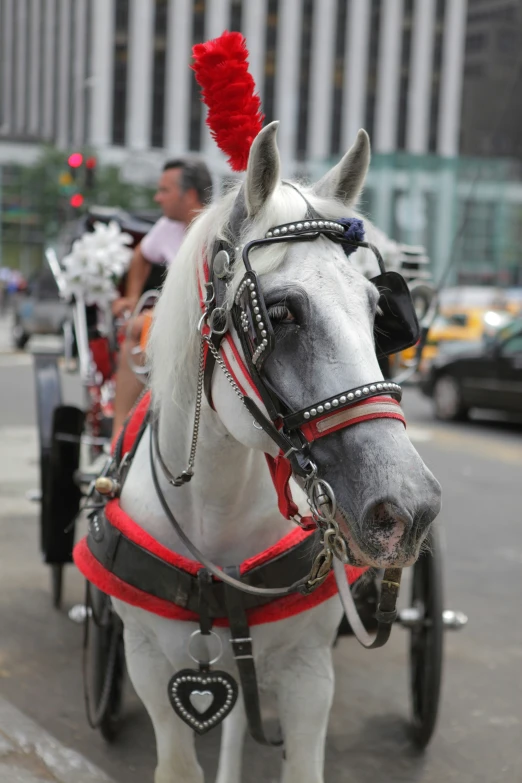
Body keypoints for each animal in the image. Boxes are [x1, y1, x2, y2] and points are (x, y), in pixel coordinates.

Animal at [110, 124, 438, 783]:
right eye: (280, 312)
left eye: (378, 311)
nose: (409, 508)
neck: (215, 515)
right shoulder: (148, 661)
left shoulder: (309, 671)